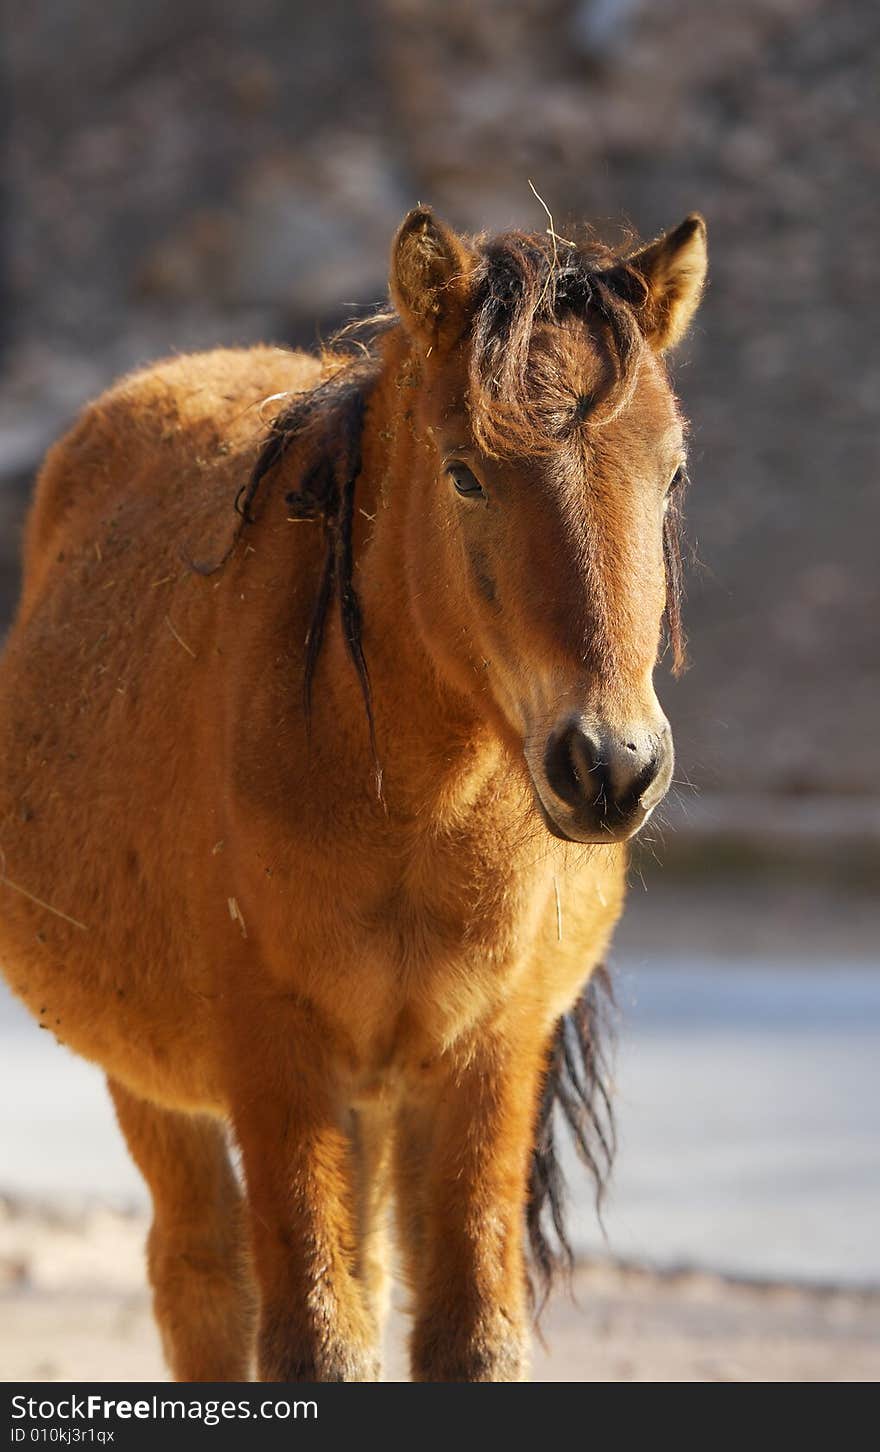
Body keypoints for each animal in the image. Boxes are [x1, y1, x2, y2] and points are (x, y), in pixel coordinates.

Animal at [0, 207, 702, 1382]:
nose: (610, 765)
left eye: (674, 475)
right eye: (465, 474)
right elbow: (312, 1341)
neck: (410, 812)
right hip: (161, 1090)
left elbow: (467, 1335)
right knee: (202, 1282)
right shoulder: (279, 1067)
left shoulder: (487, 1060)